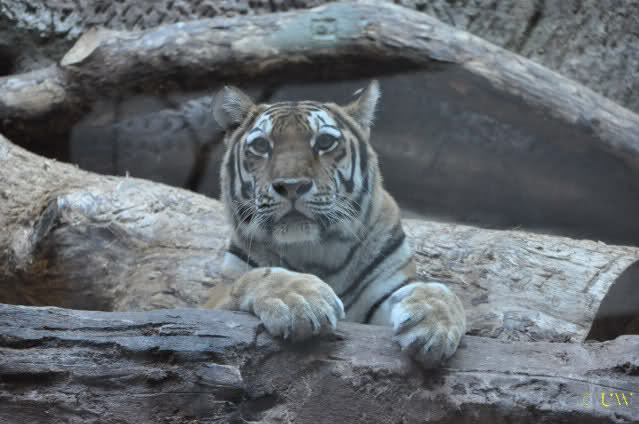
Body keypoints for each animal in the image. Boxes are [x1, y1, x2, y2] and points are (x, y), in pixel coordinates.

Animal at [204, 81, 466, 366]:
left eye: (325, 142)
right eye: (262, 145)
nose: (292, 186)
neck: (315, 251)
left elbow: (439, 290)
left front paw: (434, 324)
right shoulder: (215, 299)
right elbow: (256, 276)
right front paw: (301, 299)